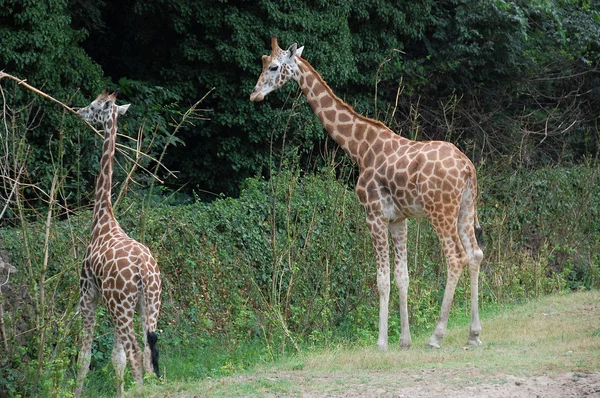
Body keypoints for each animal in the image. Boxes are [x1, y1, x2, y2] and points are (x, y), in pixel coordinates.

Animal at [74, 90, 163, 398]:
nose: (78, 112)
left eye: (93, 106)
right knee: (148, 350)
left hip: (121, 306)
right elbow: (116, 358)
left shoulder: (89, 294)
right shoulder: (111, 303)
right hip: (149, 303)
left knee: (135, 350)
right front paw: (120, 392)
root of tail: (144, 271)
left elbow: (85, 356)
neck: (103, 218)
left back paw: (140, 390)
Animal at [250, 35, 482, 350]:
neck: (359, 148)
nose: (255, 95)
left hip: (440, 211)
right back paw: (474, 334)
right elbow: (402, 277)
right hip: (465, 208)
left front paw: (382, 342)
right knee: (475, 254)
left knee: (456, 258)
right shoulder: (398, 219)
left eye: (273, 66)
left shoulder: (374, 214)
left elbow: (382, 280)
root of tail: (467, 166)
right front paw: (404, 340)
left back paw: (436, 336)